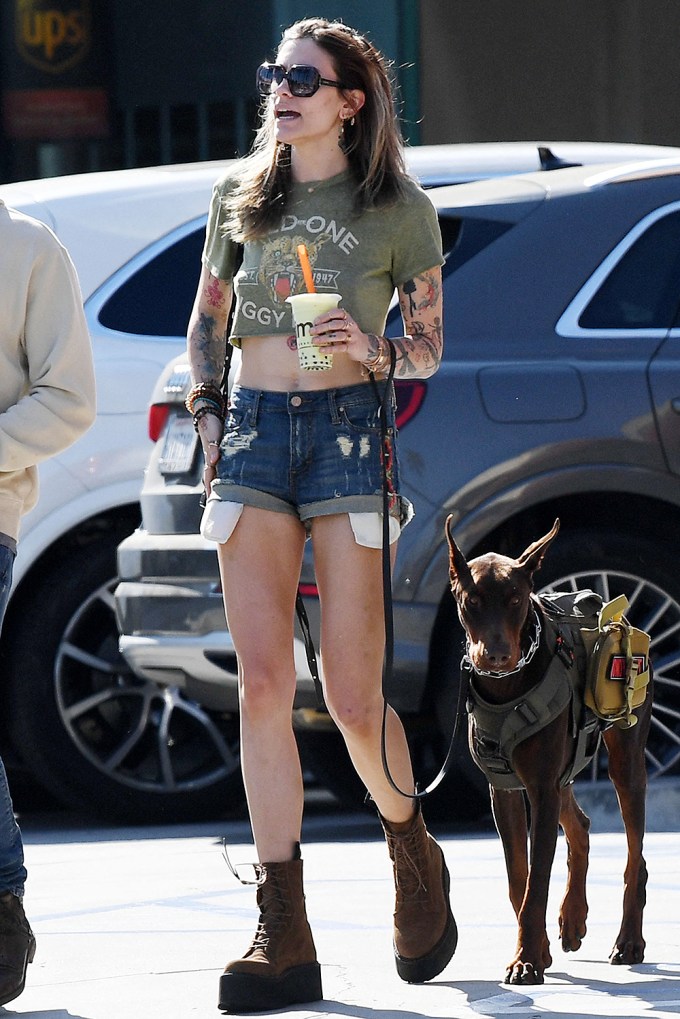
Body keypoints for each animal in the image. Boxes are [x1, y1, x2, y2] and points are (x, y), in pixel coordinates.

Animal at [446, 517, 652, 986]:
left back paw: (629, 940)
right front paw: (536, 949)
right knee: (581, 826)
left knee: (635, 857)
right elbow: (518, 878)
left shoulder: (540, 786)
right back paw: (572, 918)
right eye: (472, 600)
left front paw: (525, 959)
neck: (507, 689)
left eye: (516, 599)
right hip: (565, 766)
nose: (497, 656)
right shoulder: (504, 788)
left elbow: (537, 878)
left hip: (624, 758)